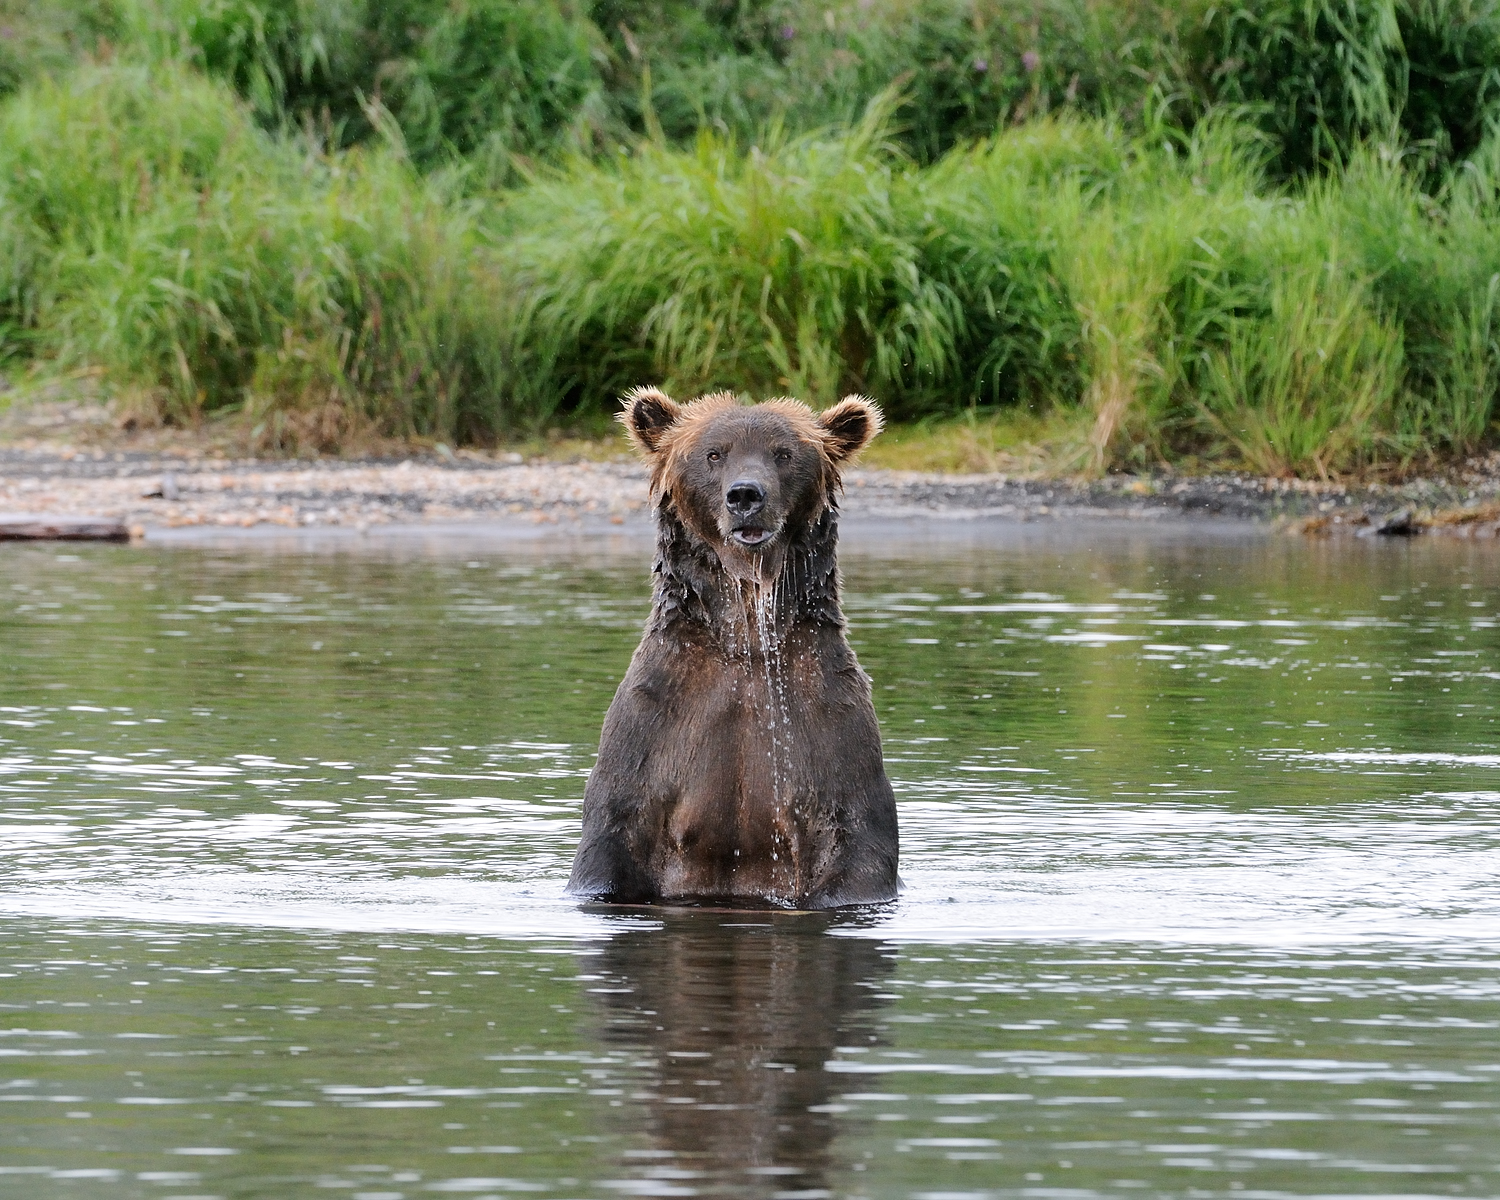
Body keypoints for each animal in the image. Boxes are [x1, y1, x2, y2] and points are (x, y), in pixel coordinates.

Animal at [567, 390, 900, 906]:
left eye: (784, 454)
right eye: (713, 454)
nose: (745, 495)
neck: (746, 641)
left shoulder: (827, 716)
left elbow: (857, 838)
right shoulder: (656, 720)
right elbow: (610, 834)